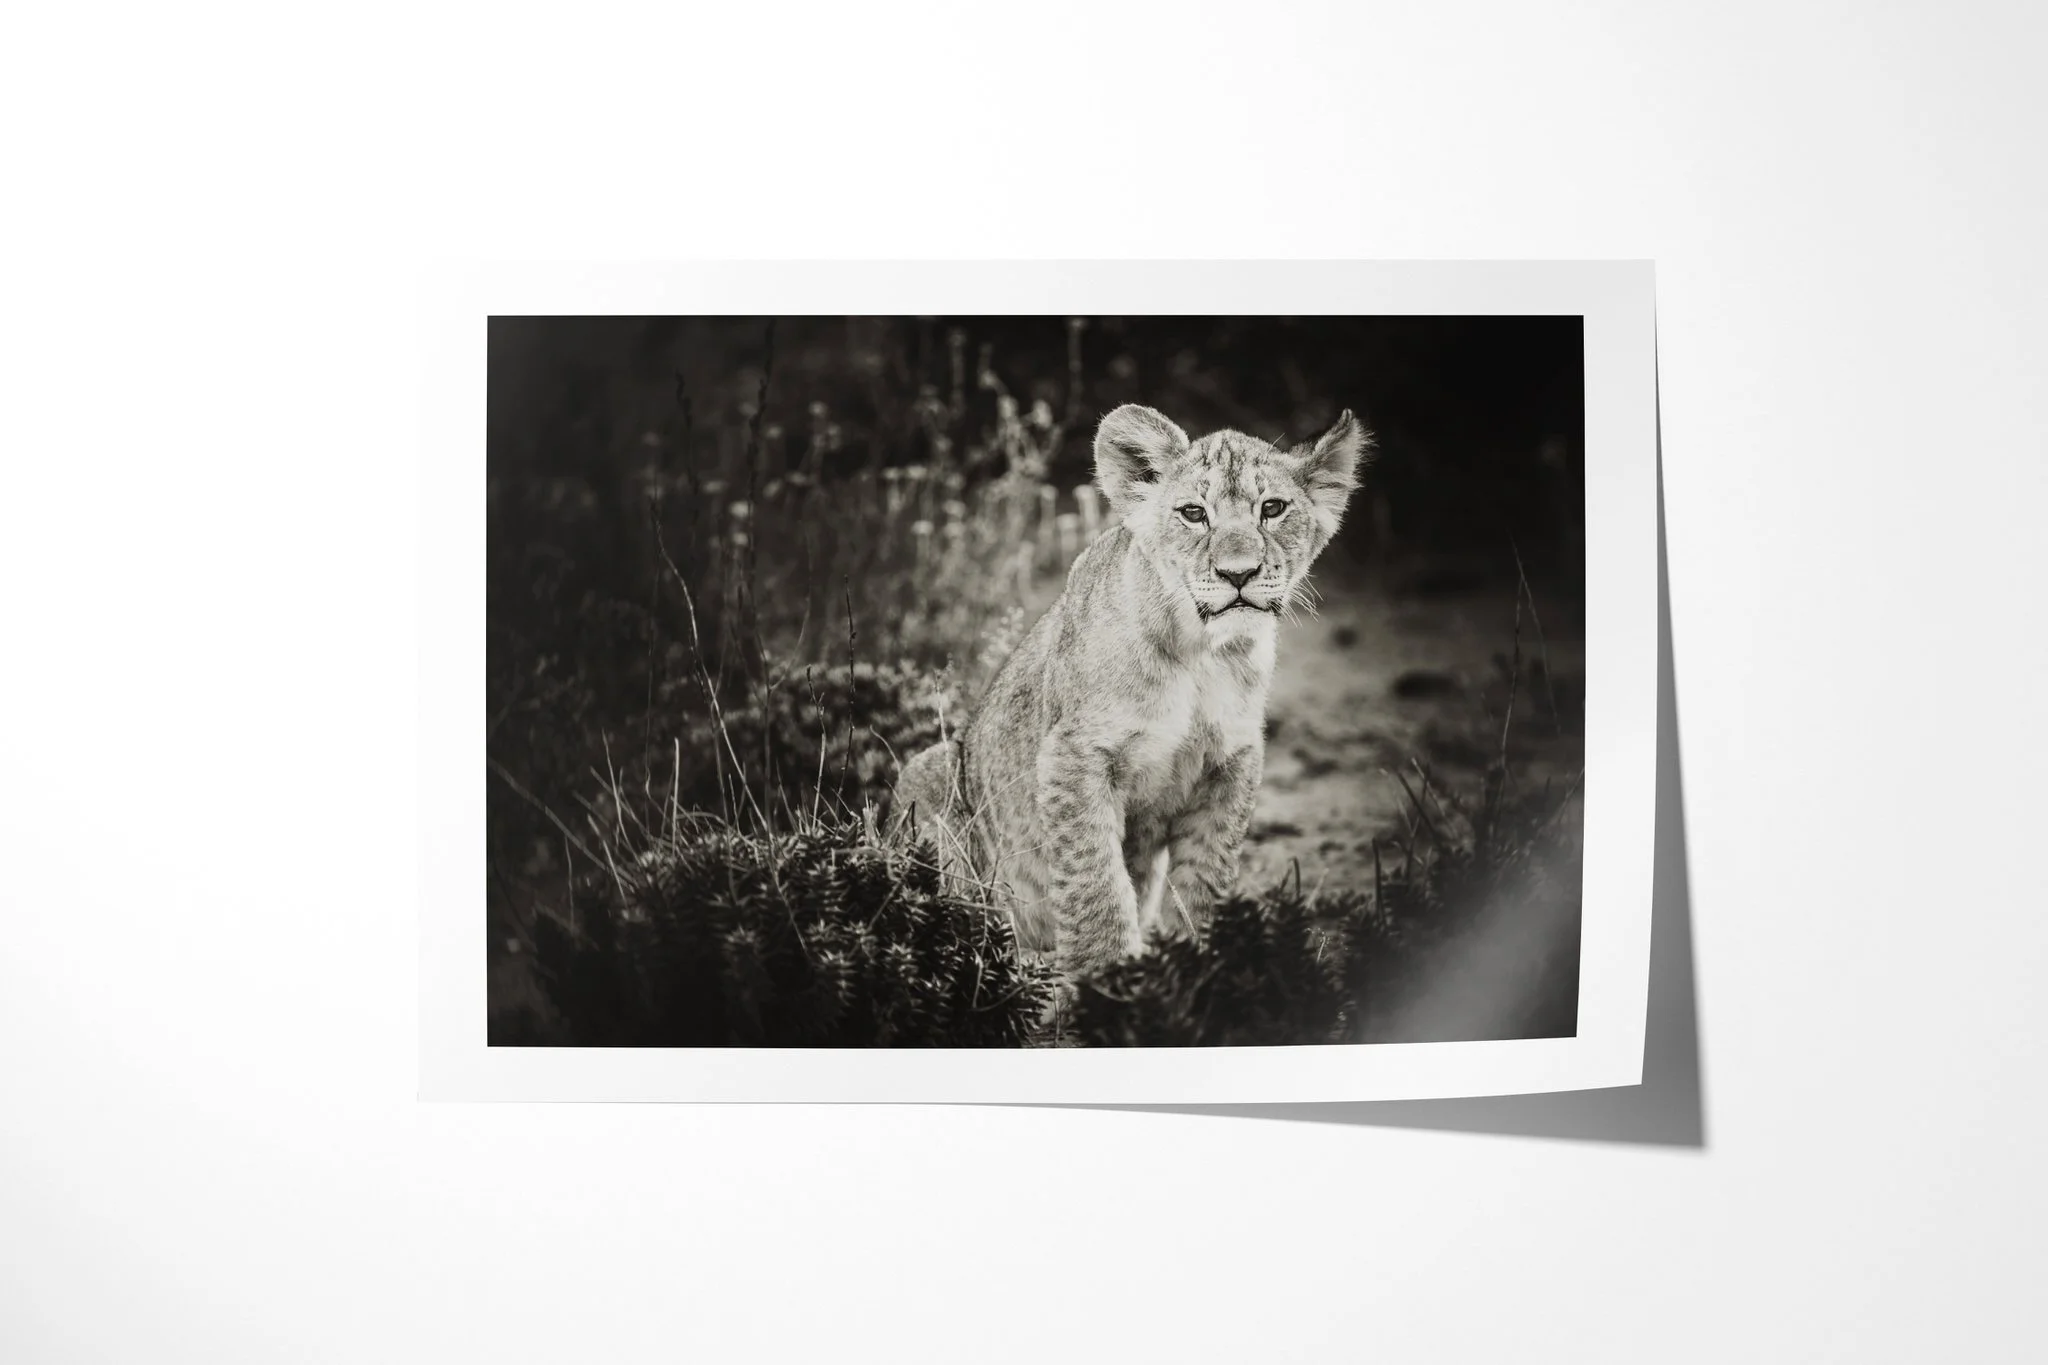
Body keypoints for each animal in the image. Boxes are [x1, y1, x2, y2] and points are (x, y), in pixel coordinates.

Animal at [891, 402, 1370, 984]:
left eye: (1272, 509)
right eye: (1193, 514)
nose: (1238, 573)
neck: (1201, 654)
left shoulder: (1230, 766)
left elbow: (1204, 885)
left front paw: (1204, 974)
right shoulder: (1073, 756)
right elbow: (1094, 882)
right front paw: (1106, 984)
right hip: (929, 774)